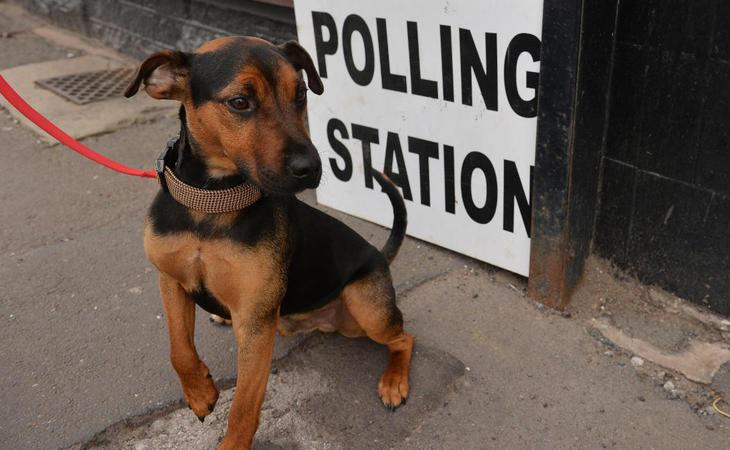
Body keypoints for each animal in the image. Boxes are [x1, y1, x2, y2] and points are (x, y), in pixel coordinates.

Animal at [122, 37, 412, 448]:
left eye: (301, 93)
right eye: (240, 101)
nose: (312, 169)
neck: (211, 204)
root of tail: (381, 258)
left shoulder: (256, 324)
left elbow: (244, 406)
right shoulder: (171, 281)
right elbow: (179, 348)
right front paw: (199, 392)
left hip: (367, 310)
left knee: (405, 339)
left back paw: (394, 382)